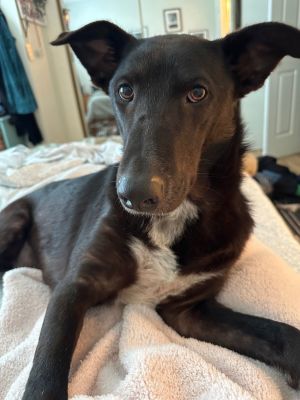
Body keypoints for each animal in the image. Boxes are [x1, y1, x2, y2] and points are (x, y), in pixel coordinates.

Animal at [0, 21, 300, 400]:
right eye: (124, 91)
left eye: (198, 93)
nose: (134, 196)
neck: (173, 218)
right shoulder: (72, 289)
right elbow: (47, 366)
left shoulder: (189, 311)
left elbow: (282, 334)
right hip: (15, 219)